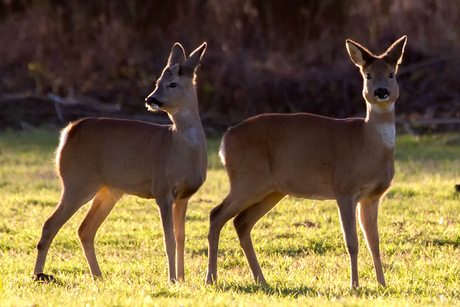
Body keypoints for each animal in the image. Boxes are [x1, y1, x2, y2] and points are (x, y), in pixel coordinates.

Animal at [31, 42, 207, 282]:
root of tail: (67, 132)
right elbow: (169, 239)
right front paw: (172, 279)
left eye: (172, 83)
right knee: (50, 224)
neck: (179, 146)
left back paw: (98, 276)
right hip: (78, 181)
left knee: (85, 229)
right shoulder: (162, 189)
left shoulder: (185, 195)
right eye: (157, 82)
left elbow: (181, 238)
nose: (150, 99)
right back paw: (39, 274)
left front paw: (181, 278)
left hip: (108, 189)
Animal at [207, 36, 408, 288]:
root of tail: (225, 140)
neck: (366, 143)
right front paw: (354, 285)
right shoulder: (344, 189)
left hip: (272, 190)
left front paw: (382, 284)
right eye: (367, 75)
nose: (381, 92)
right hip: (246, 180)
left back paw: (261, 280)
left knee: (241, 222)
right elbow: (352, 242)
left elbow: (375, 242)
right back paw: (211, 279)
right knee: (216, 214)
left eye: (392, 73)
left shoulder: (372, 197)